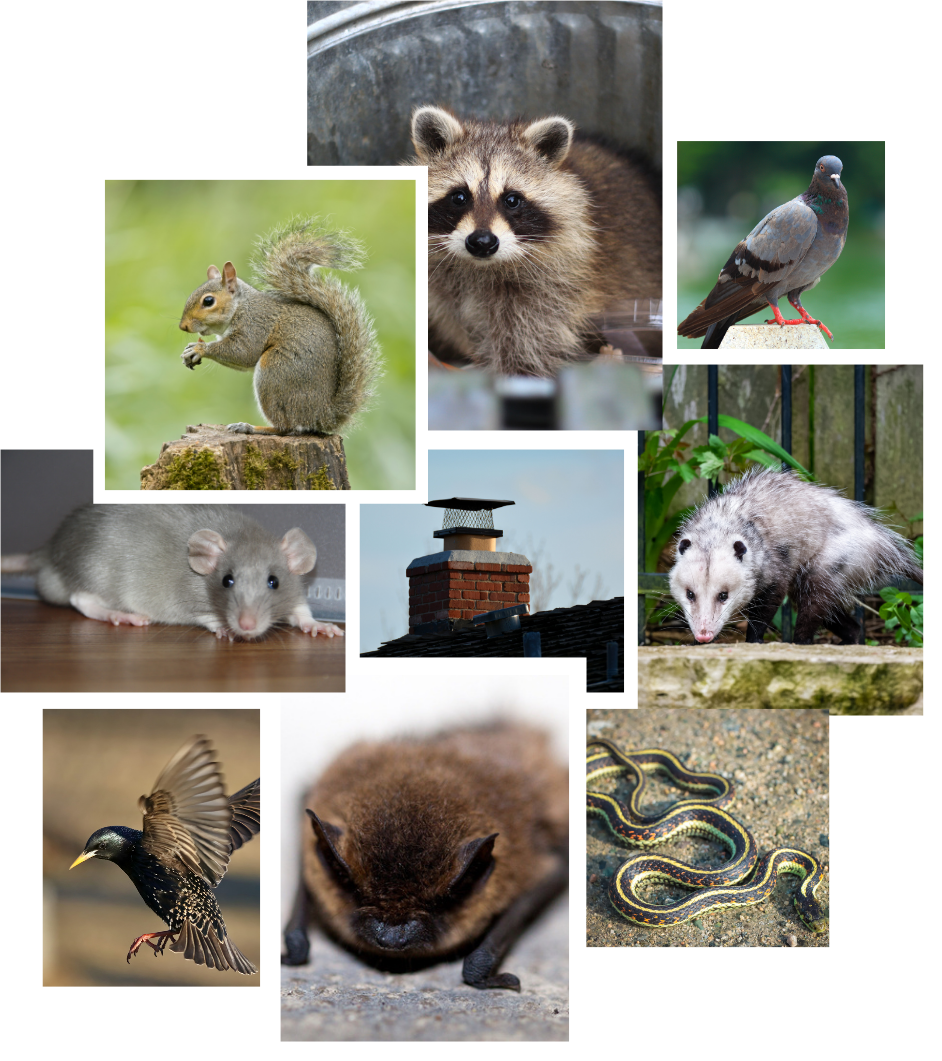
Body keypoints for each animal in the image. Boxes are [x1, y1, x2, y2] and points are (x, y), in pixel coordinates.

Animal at [179, 216, 383, 436]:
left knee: (285, 426)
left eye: (208, 301)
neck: (241, 306)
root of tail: (322, 416)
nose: (183, 326)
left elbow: (244, 352)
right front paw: (190, 351)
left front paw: (200, 348)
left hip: (275, 373)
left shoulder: (255, 324)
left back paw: (251, 427)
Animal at [408, 104, 662, 377]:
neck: (480, 268)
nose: (482, 242)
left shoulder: (556, 288)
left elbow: (528, 345)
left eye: (512, 200)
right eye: (459, 197)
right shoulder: (443, 289)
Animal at [668, 468, 923, 645]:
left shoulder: (775, 569)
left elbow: (768, 605)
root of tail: (883, 543)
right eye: (690, 594)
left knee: (814, 604)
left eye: (723, 595)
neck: (720, 526)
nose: (703, 635)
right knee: (844, 621)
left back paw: (801, 642)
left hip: (832, 564)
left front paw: (754, 640)